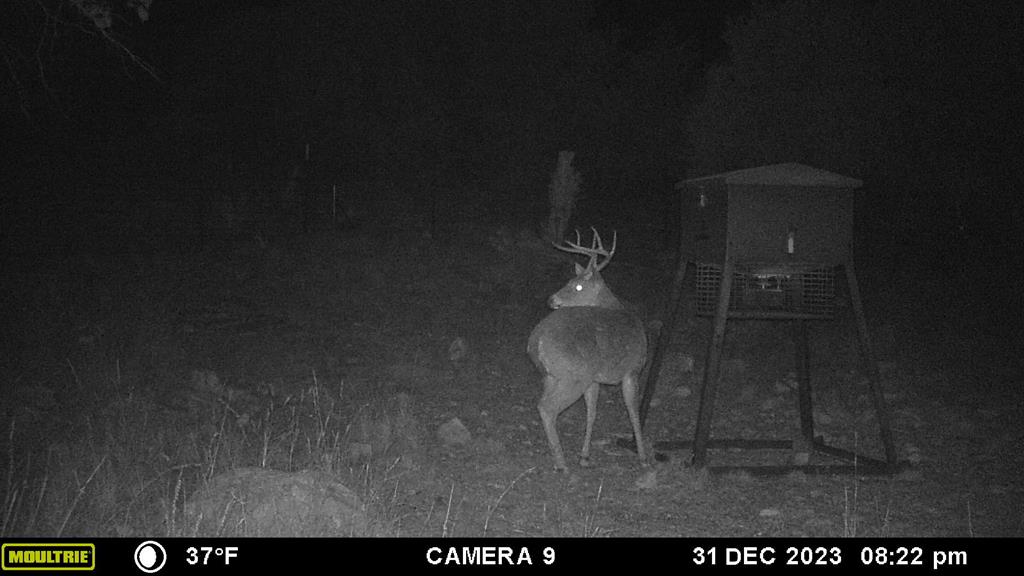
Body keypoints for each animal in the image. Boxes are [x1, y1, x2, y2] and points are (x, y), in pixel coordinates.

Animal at [527, 228, 648, 471]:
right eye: (570, 281)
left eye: (577, 285)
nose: (551, 300)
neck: (617, 308)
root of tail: (536, 340)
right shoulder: (632, 371)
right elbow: (633, 412)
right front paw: (642, 458)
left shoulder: (596, 379)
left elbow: (592, 413)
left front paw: (585, 455)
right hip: (574, 375)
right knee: (547, 408)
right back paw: (562, 463)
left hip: (553, 375)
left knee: (542, 403)